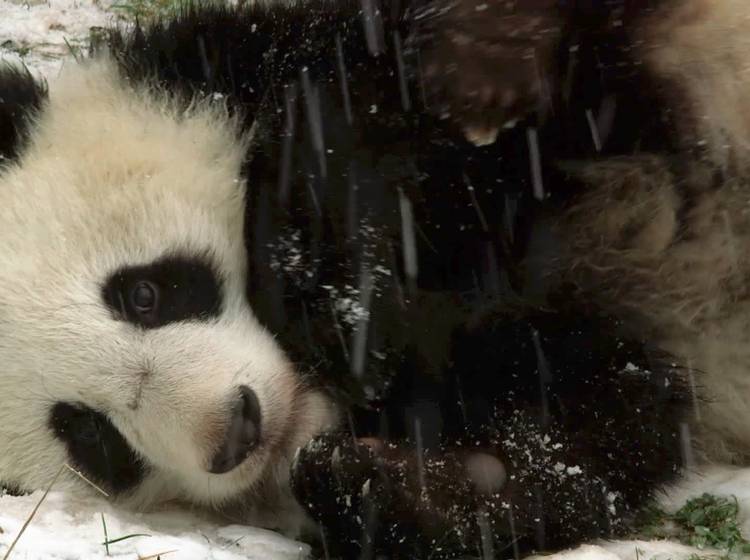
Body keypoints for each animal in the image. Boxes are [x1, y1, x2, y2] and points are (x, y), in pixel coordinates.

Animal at [0, 0, 745, 558]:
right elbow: (579, 452)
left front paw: (339, 310)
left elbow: (355, 113)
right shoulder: (601, 363)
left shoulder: (267, 62)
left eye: (142, 294)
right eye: (91, 437)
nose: (238, 430)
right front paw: (359, 479)